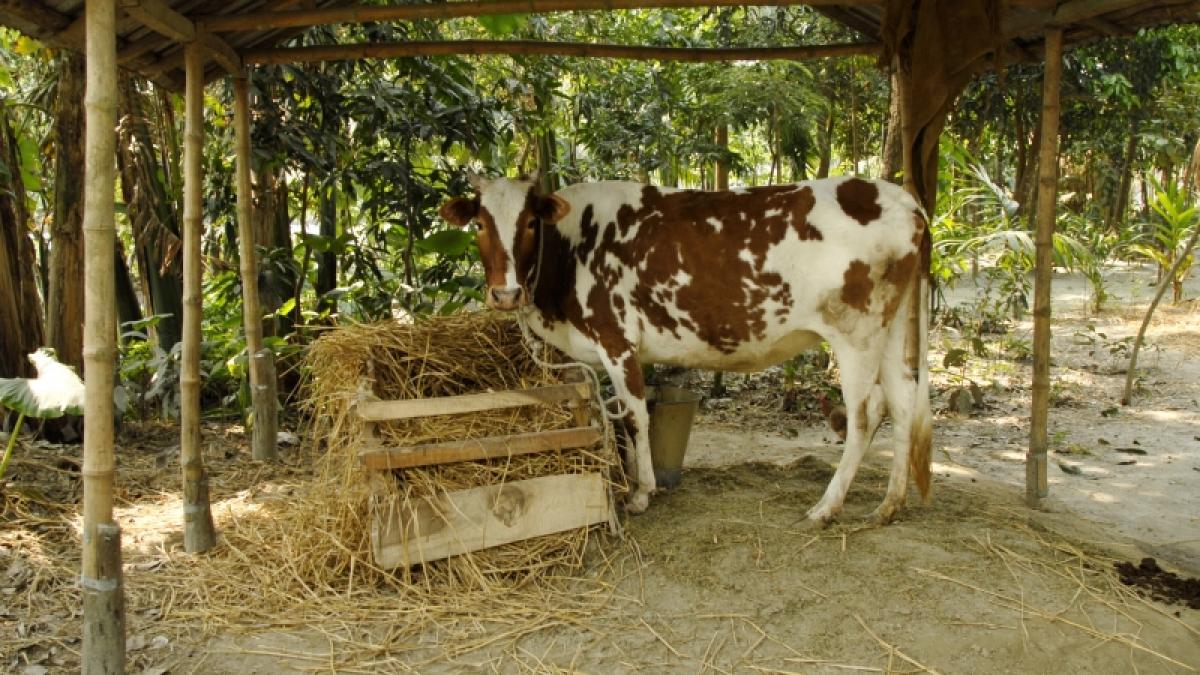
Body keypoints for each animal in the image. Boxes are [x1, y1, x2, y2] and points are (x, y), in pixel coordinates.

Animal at [440, 173, 932, 526]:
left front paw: (641, 493)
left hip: (856, 333)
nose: (506, 294)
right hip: (888, 331)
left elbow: (635, 417)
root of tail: (902, 198)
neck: (573, 247)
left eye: (528, 223)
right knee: (903, 400)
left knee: (865, 415)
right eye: (479, 224)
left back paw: (827, 507)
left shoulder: (617, 340)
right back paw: (890, 505)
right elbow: (616, 418)